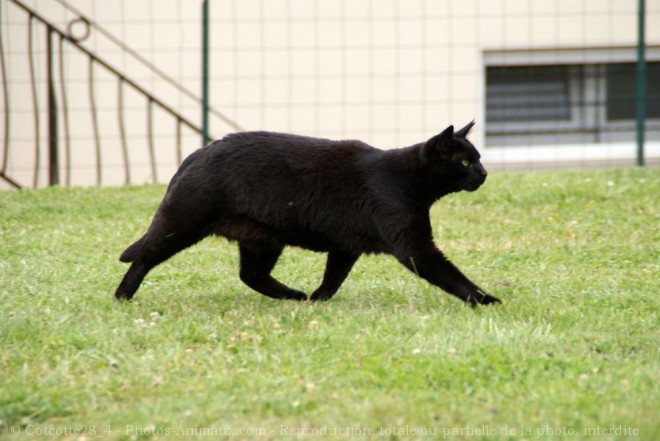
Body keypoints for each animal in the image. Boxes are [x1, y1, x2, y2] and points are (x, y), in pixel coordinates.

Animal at [116, 120, 502, 306]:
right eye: (465, 162)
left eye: (479, 158)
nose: (484, 174)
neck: (406, 178)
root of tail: (199, 152)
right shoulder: (414, 248)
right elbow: (451, 276)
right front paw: (486, 300)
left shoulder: (346, 247)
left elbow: (333, 278)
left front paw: (318, 300)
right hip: (182, 224)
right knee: (144, 255)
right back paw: (122, 296)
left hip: (262, 239)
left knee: (250, 275)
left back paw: (294, 296)